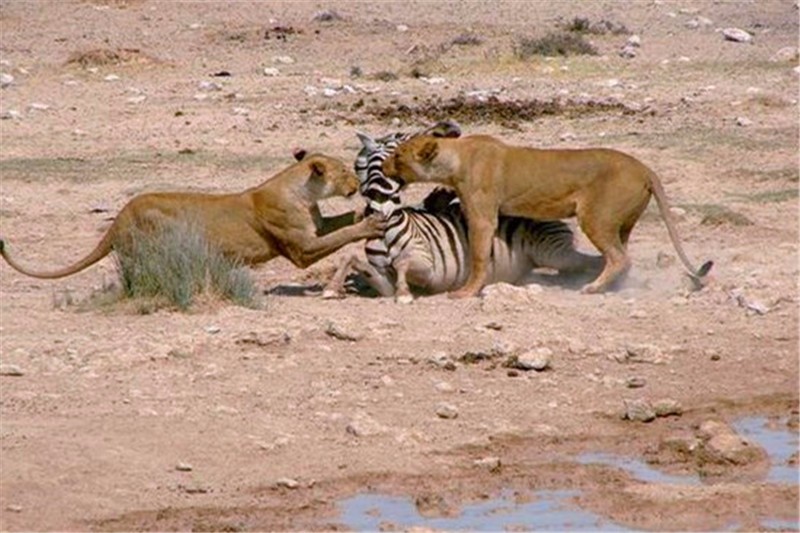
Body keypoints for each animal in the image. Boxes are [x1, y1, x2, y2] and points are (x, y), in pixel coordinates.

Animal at [0, 150, 388, 280]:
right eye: (343, 171)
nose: (357, 183)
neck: (304, 194)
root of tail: (120, 217)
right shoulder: (301, 251)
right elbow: (340, 236)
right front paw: (371, 222)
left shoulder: (316, 226)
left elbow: (339, 224)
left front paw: (363, 211)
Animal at [322, 122, 604, 302]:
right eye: (402, 136)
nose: (451, 128)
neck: (387, 220)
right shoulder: (383, 279)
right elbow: (351, 258)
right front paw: (332, 288)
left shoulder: (429, 267)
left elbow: (402, 263)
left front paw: (404, 294)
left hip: (552, 252)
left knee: (590, 261)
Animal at [382, 135, 712, 298]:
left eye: (397, 156)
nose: (383, 167)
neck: (456, 159)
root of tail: (645, 168)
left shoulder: (482, 217)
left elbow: (478, 255)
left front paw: (466, 292)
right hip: (624, 223)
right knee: (620, 255)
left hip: (596, 217)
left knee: (619, 257)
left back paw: (592, 288)